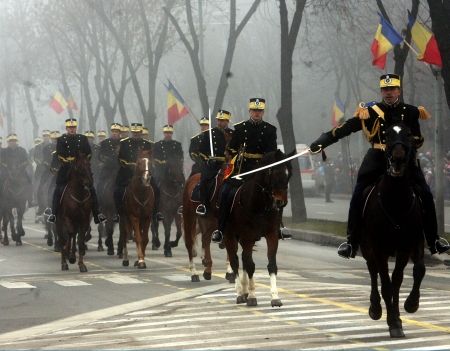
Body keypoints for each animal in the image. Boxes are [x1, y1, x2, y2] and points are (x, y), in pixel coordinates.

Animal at [224, 151, 292, 308]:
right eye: (273, 173)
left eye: (288, 174)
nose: (281, 202)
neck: (260, 205)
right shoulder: (247, 237)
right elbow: (250, 265)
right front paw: (252, 296)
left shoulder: (271, 235)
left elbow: (271, 265)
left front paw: (275, 297)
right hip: (230, 236)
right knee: (235, 260)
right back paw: (240, 293)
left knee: (243, 258)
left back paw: (244, 290)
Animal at [358, 123, 426, 338]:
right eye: (386, 136)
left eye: (409, 135)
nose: (397, 159)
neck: (395, 200)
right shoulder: (379, 249)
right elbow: (386, 284)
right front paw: (392, 321)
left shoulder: (408, 246)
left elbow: (404, 277)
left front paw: (407, 308)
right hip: (367, 248)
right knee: (373, 272)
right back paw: (375, 308)